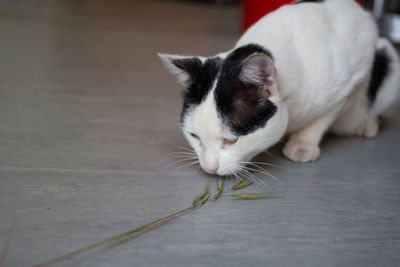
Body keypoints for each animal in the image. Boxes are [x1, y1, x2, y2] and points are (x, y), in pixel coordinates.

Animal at [159, 0, 400, 177]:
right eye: (194, 136)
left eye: (231, 140)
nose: (209, 168)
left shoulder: (349, 82)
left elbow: (321, 119)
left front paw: (303, 144)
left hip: (388, 61)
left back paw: (367, 124)